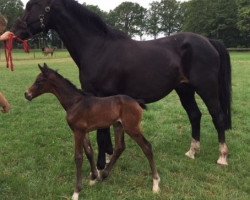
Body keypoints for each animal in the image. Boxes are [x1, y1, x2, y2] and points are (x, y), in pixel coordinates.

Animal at [13, 0, 232, 168]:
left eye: (32, 6)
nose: (16, 30)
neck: (98, 47)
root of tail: (208, 41)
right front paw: (110, 156)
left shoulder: (100, 95)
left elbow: (102, 133)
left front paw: (102, 165)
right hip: (184, 89)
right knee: (195, 115)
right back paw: (192, 152)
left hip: (207, 88)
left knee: (217, 116)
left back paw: (222, 157)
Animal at [23, 64, 160, 200]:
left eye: (39, 81)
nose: (26, 94)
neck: (75, 103)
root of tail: (136, 102)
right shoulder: (83, 132)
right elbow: (89, 152)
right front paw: (94, 177)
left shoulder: (78, 132)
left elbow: (78, 156)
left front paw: (76, 192)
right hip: (118, 126)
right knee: (120, 147)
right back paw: (103, 174)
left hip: (132, 128)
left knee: (146, 146)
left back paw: (155, 184)